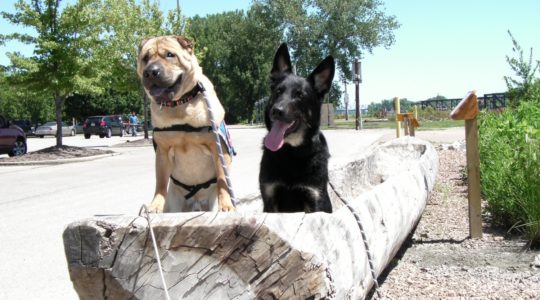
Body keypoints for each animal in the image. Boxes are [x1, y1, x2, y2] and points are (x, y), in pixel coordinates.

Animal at [137, 35, 234, 212]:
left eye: (170, 55)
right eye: (145, 58)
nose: (151, 71)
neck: (180, 104)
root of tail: (196, 201)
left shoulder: (218, 149)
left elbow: (222, 180)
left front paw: (226, 205)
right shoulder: (162, 152)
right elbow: (160, 182)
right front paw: (155, 205)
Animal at [260, 44, 336, 213]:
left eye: (299, 95)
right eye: (278, 91)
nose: (276, 110)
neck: (291, 152)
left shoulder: (315, 199)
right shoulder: (270, 198)